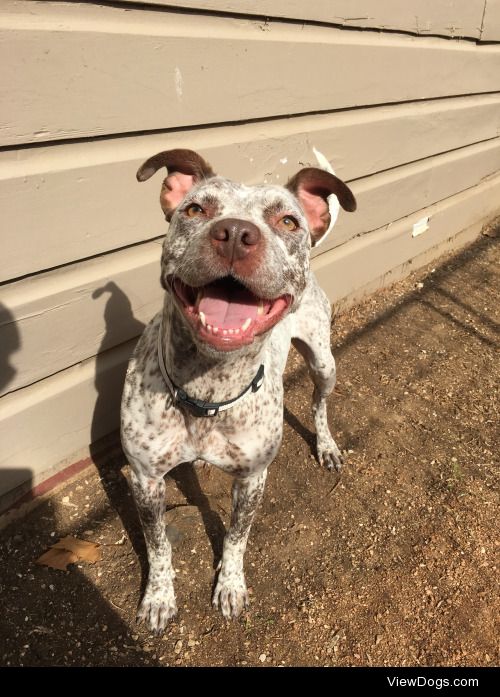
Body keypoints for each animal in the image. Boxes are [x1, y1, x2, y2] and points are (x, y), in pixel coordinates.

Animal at [120, 150, 356, 632]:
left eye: (287, 221)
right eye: (195, 210)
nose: (235, 234)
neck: (208, 391)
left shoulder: (251, 480)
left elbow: (236, 537)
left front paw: (229, 585)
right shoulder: (145, 480)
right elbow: (158, 545)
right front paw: (159, 597)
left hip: (324, 364)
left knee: (320, 404)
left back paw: (326, 445)